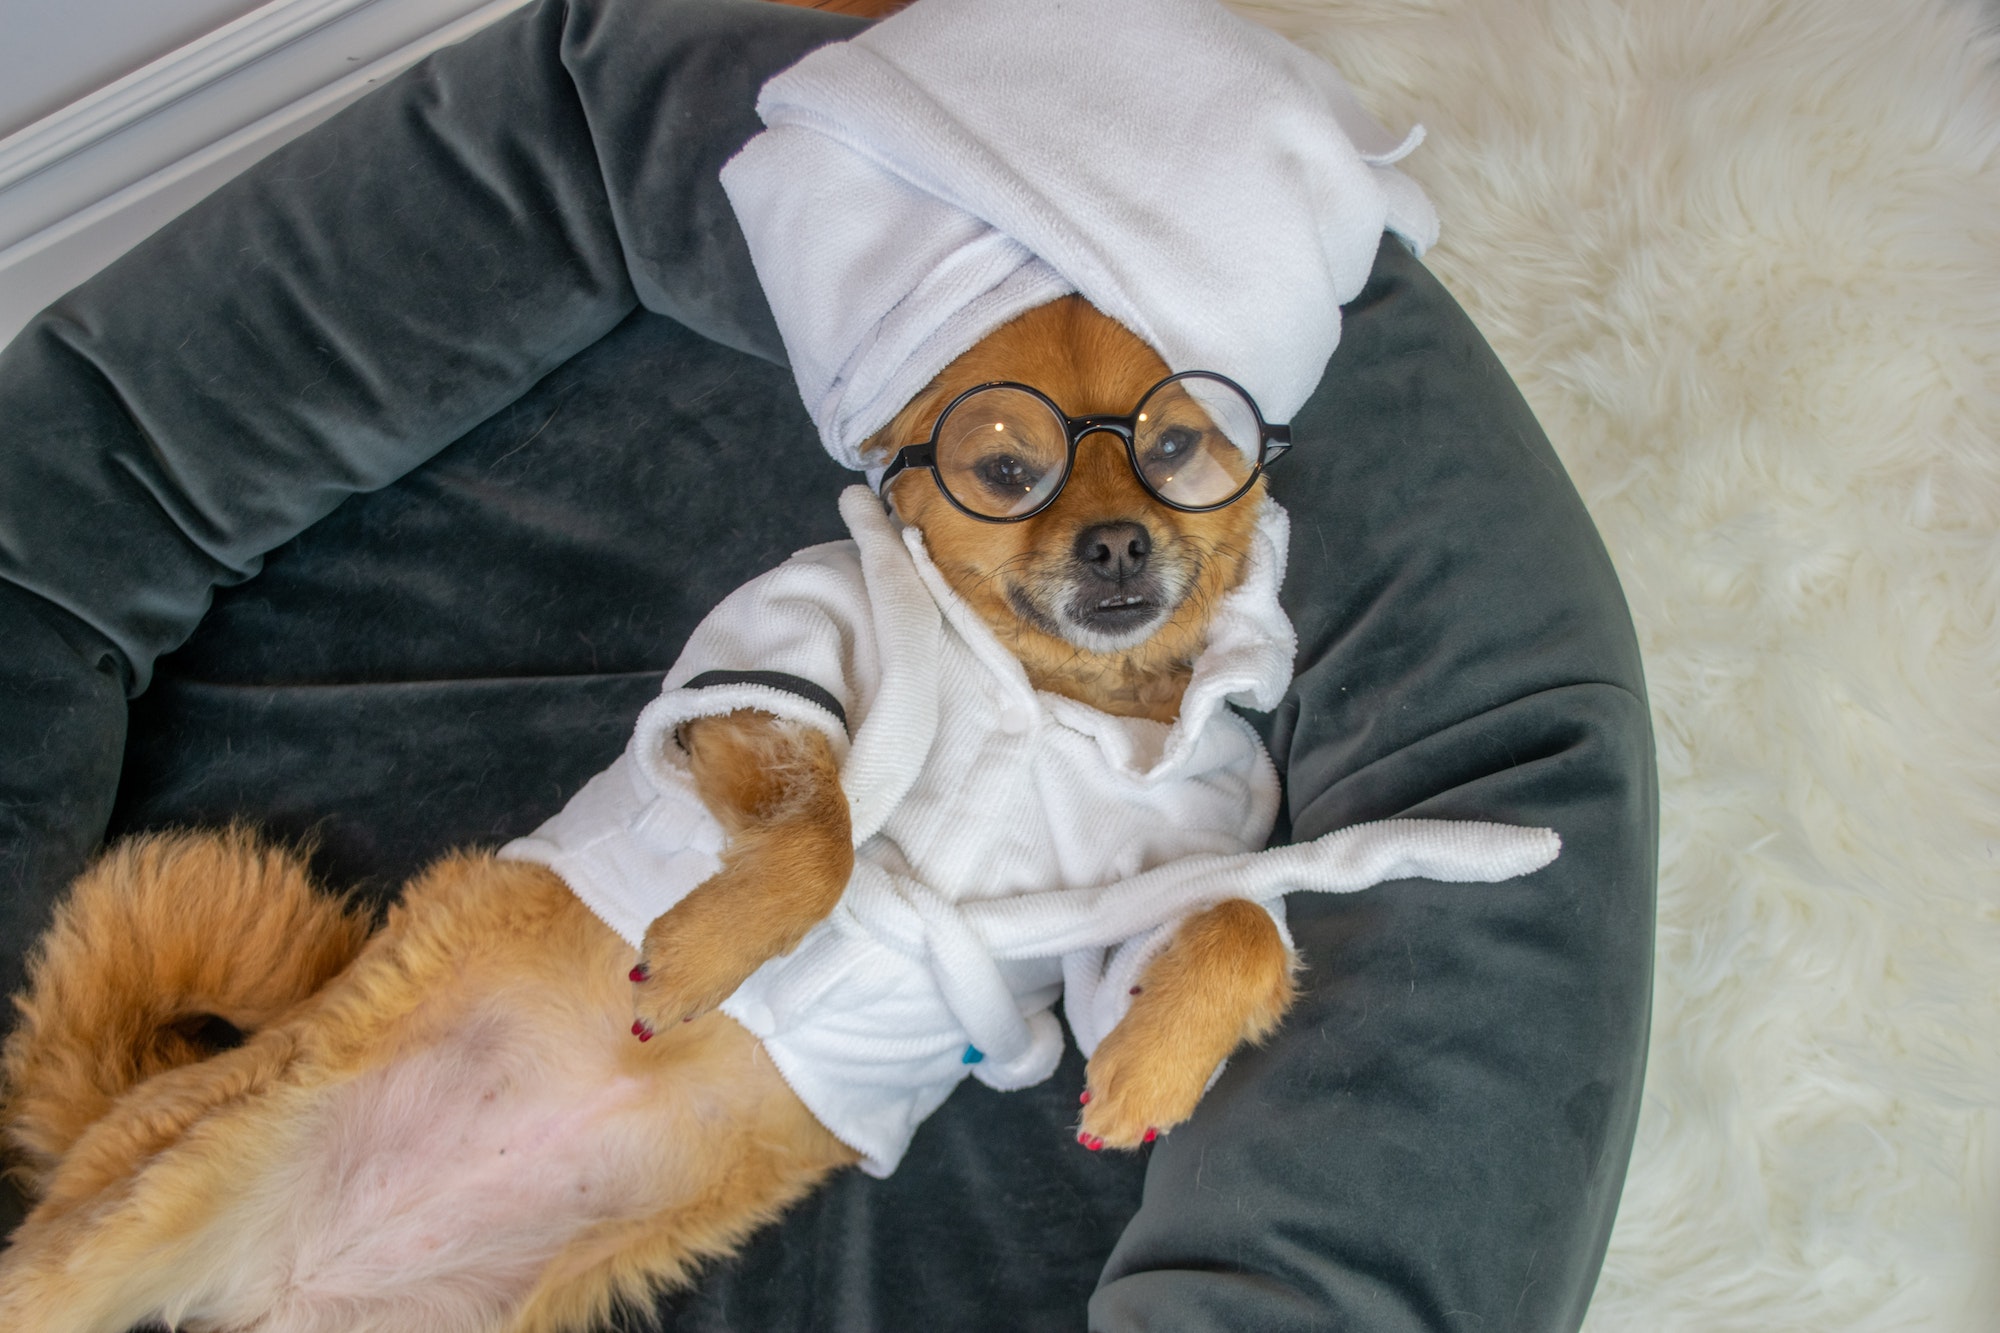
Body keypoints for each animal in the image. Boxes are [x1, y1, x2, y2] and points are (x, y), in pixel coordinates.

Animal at [0, 290, 1296, 1328]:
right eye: (1006, 472)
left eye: (1173, 446)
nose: (1117, 542)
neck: (1054, 687)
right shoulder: (774, 661)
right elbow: (825, 837)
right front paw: (708, 952)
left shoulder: (1156, 884)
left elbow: (1236, 922)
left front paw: (1152, 1069)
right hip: (140, 1213)